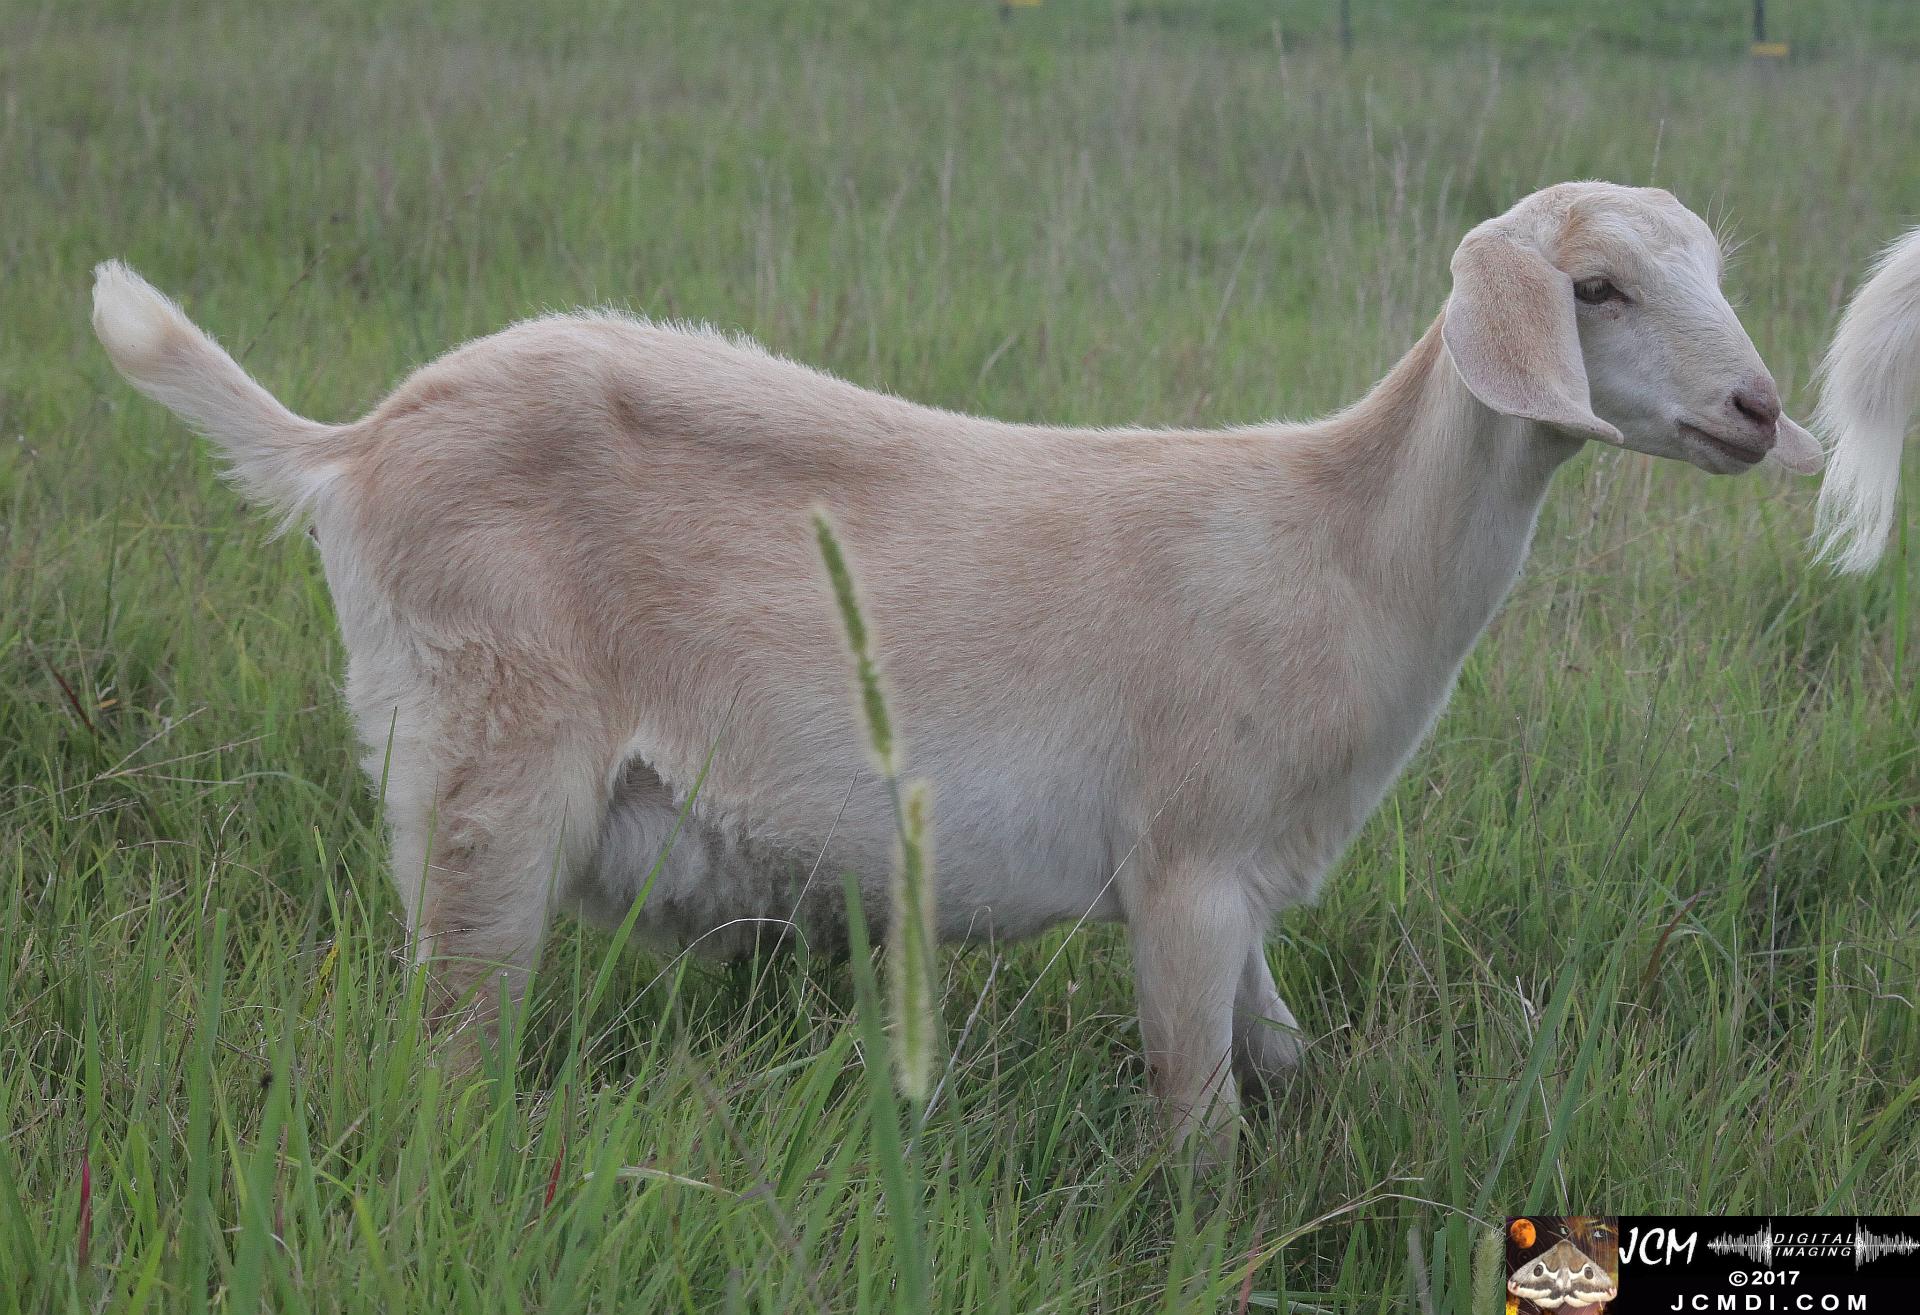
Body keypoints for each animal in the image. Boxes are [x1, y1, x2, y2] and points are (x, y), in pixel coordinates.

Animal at [92, 180, 1823, 1152]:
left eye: (1713, 265)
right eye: (1593, 287)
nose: (1755, 407)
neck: (1338, 542)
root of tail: (350, 445)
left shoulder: (1250, 877)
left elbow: (1282, 1049)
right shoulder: (1184, 862)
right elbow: (1199, 1119)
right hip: (481, 771)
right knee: (451, 1043)